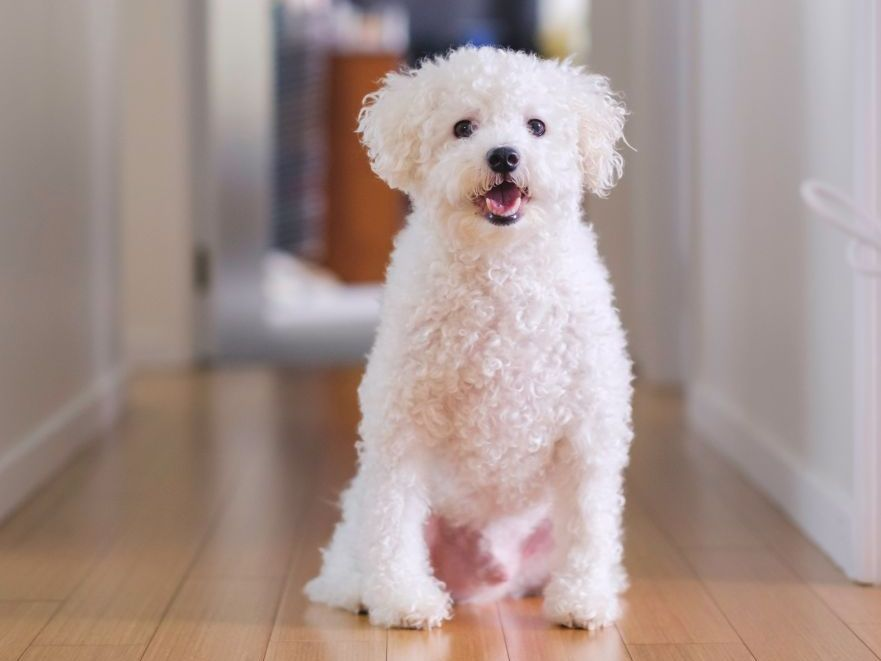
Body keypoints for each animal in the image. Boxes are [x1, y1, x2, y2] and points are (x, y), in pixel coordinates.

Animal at [306, 46, 628, 628]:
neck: (501, 270)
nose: (503, 156)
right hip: (359, 519)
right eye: (463, 128)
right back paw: (366, 592)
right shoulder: (401, 426)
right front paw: (404, 600)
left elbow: (590, 525)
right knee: (350, 562)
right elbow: (394, 520)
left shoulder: (589, 431)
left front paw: (583, 600)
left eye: (537, 125)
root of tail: (487, 579)